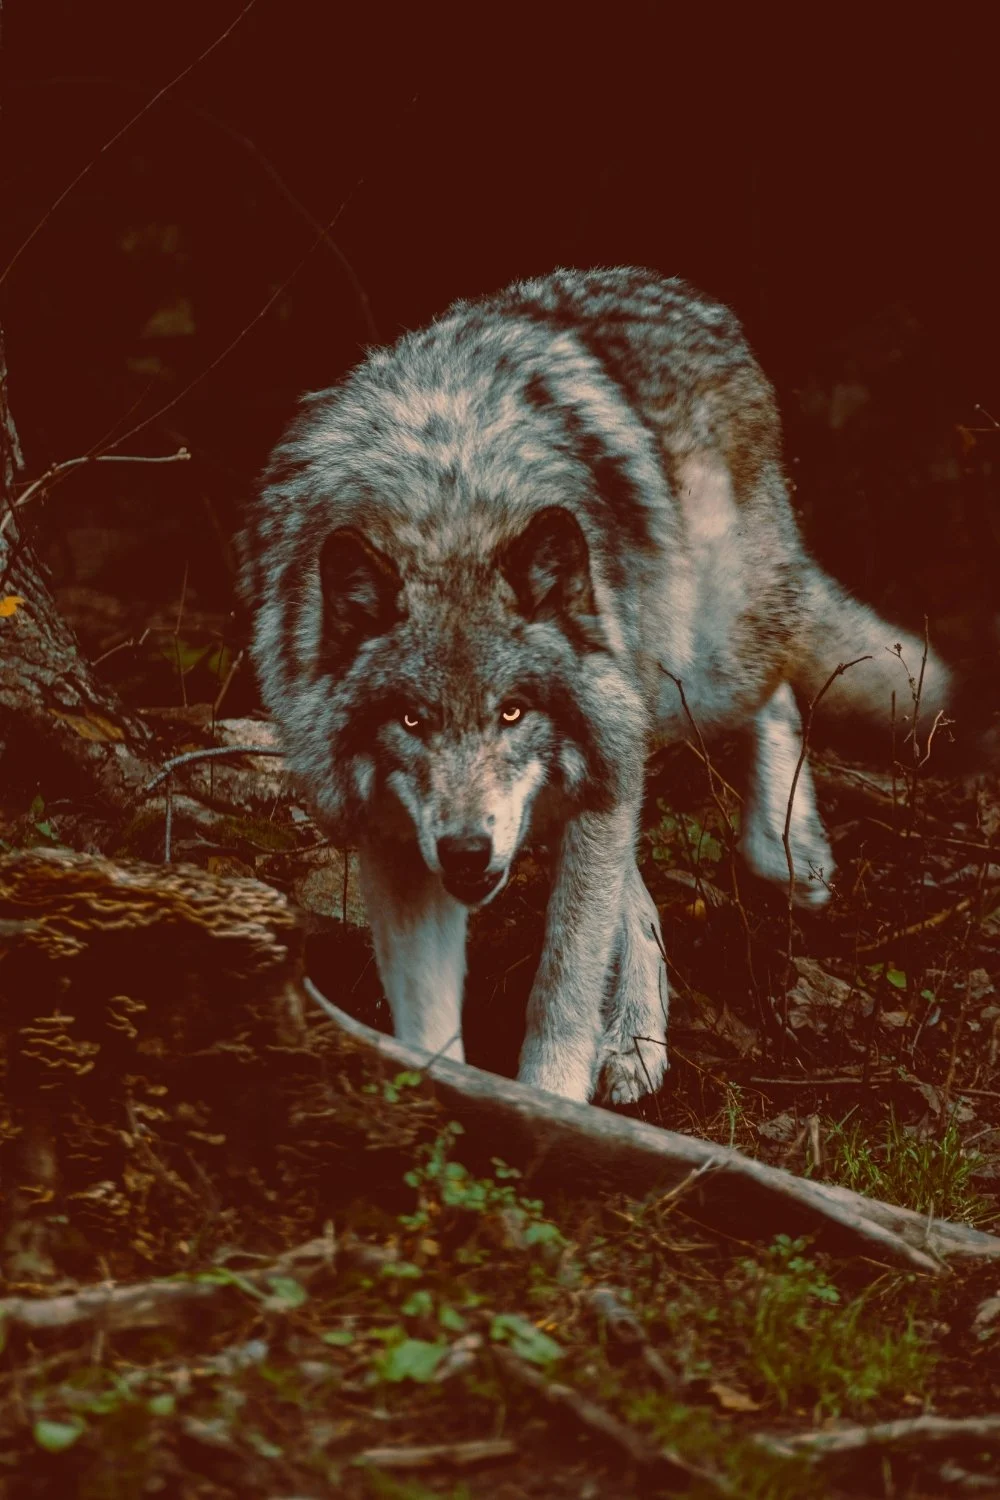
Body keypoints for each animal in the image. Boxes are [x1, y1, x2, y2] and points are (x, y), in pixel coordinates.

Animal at [244, 267, 954, 1105]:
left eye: (513, 712)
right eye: (412, 722)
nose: (465, 851)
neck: (444, 518)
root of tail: (672, 289)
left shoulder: (597, 774)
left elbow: (563, 982)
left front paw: (550, 1098)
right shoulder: (396, 842)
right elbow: (429, 1022)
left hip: (695, 676)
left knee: (779, 692)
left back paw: (791, 852)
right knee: (635, 893)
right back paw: (635, 1041)